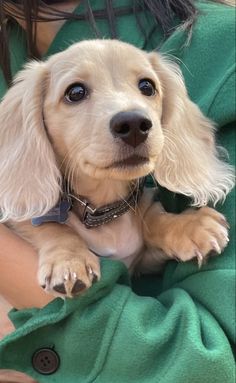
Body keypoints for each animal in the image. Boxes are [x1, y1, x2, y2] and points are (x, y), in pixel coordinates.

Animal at [0, 39, 234, 296]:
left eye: (147, 86)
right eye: (75, 92)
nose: (134, 125)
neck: (104, 212)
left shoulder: (143, 262)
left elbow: (152, 217)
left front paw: (188, 225)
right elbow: (49, 226)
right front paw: (70, 260)